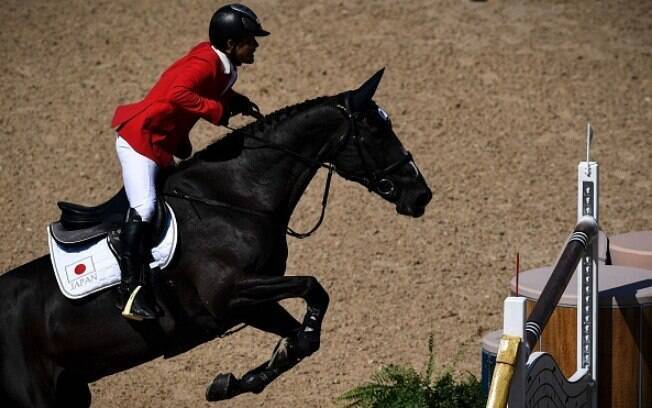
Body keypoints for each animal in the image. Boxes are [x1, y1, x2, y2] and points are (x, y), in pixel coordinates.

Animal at [0, 70, 430, 404]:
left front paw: (234, 382)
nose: (420, 195)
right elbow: (314, 287)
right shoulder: (230, 294)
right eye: (375, 130)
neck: (236, 195)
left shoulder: (251, 304)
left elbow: (303, 339)